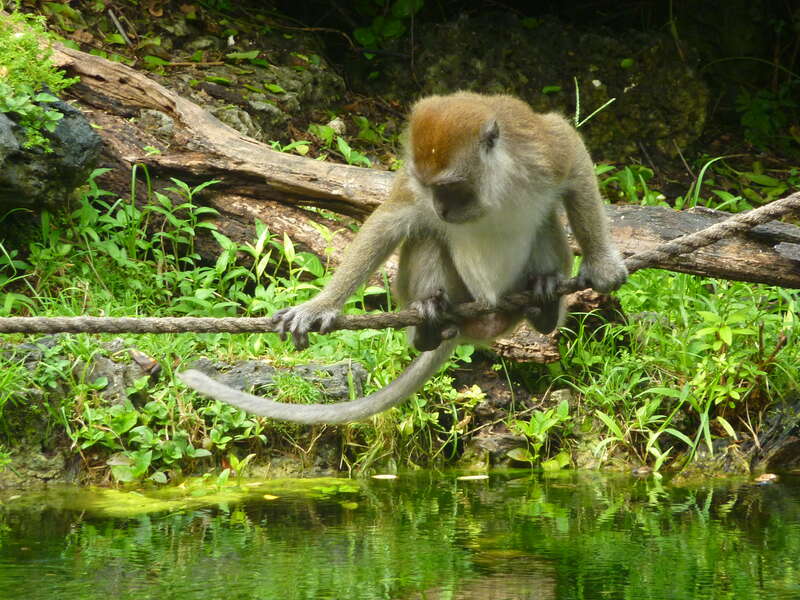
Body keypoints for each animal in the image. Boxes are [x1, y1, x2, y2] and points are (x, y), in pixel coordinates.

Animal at [179, 92, 628, 424]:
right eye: (431, 187)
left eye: (452, 187)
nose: (442, 208)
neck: (494, 183)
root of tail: (483, 316)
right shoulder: (414, 181)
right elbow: (389, 222)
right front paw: (321, 305)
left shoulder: (541, 152)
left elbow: (574, 159)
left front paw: (602, 263)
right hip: (455, 291)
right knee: (425, 236)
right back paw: (427, 320)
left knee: (546, 222)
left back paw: (544, 301)